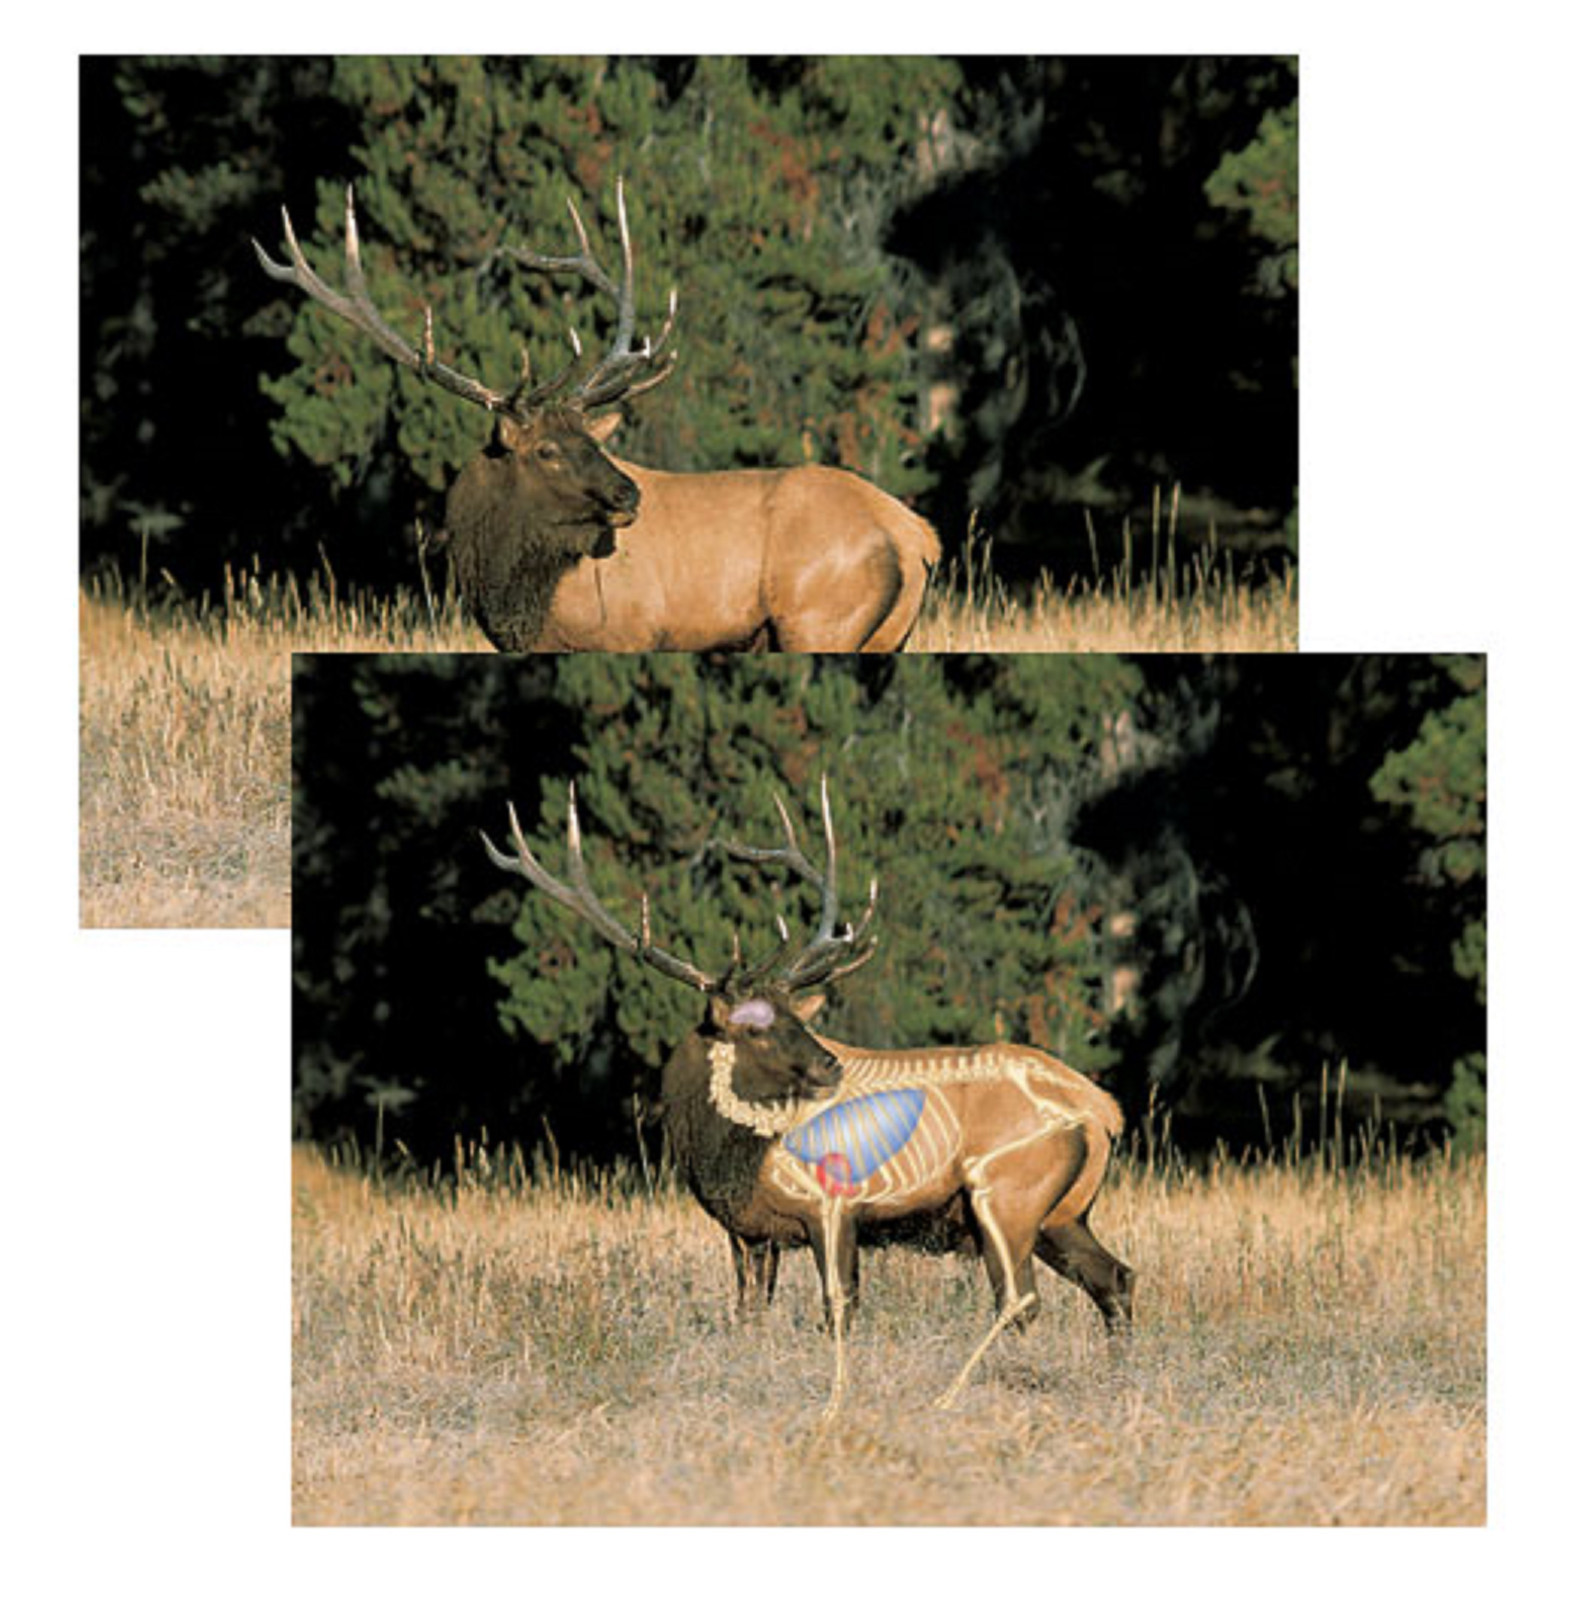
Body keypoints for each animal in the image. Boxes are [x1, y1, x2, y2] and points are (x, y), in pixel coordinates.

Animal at [254, 181, 940, 652]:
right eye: (548, 450)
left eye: (593, 441)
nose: (628, 494)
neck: (514, 594)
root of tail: (917, 536)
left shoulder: (632, 634)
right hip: (886, 635)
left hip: (818, 618)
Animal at [481, 777, 1133, 1416]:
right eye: (756, 1027)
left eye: (797, 1015)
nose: (829, 1064)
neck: (726, 1157)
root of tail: (1106, 1112)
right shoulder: (747, 1232)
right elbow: (747, 1314)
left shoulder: (832, 1205)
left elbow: (838, 1307)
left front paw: (837, 1392)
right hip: (1063, 1213)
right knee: (1115, 1277)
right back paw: (1116, 1376)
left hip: (1005, 1194)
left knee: (1020, 1299)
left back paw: (960, 1392)